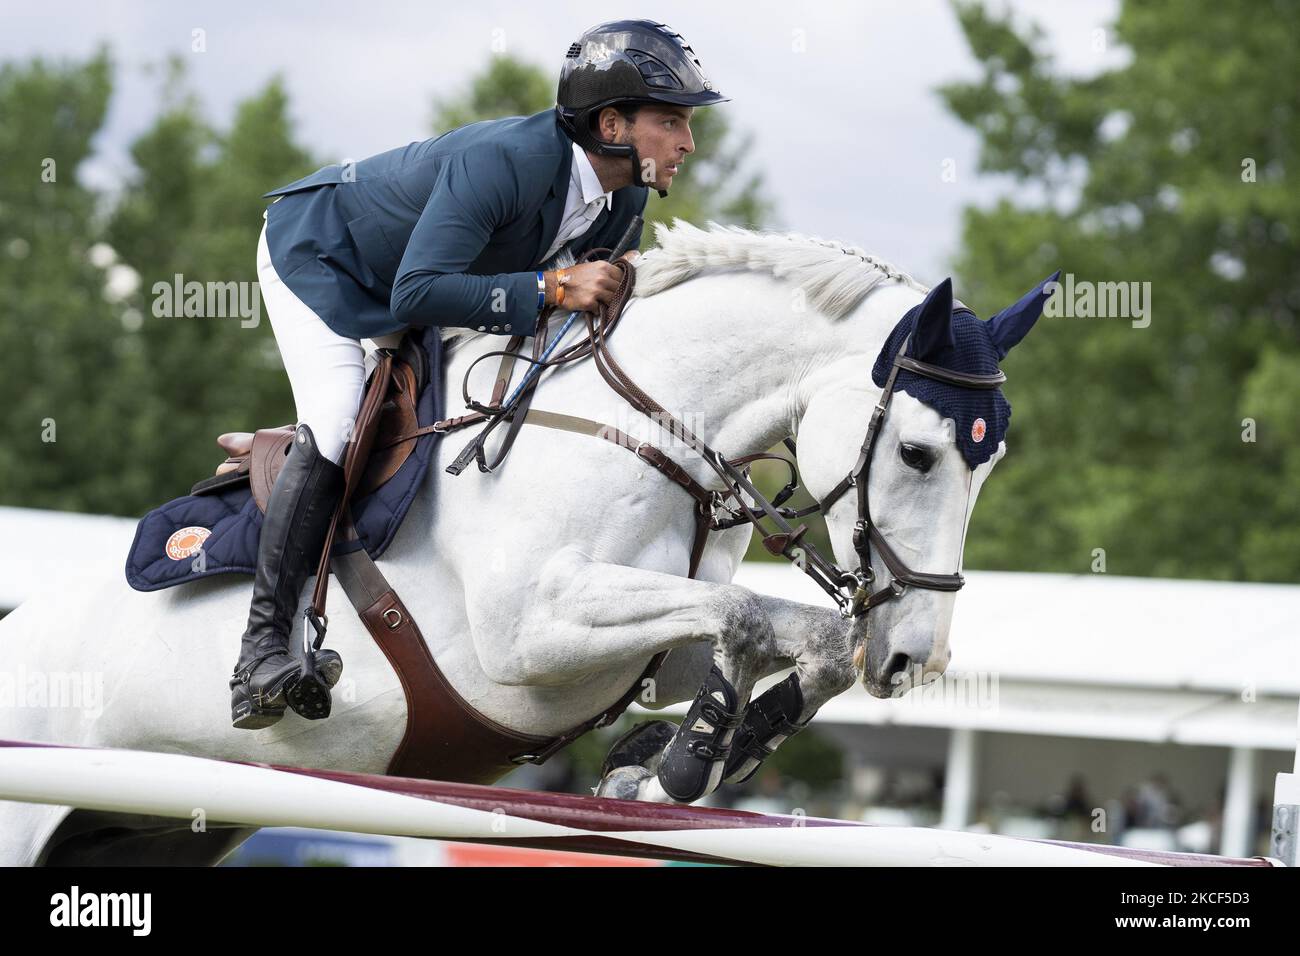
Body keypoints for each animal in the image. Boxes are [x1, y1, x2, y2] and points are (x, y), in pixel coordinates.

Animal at [0, 221, 1050, 863]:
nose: (915, 658)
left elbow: (798, 635)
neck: (642, 424)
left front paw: (673, 762)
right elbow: (743, 611)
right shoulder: (529, 639)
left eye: (993, 463)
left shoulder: (634, 654)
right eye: (916, 452)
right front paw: (681, 763)